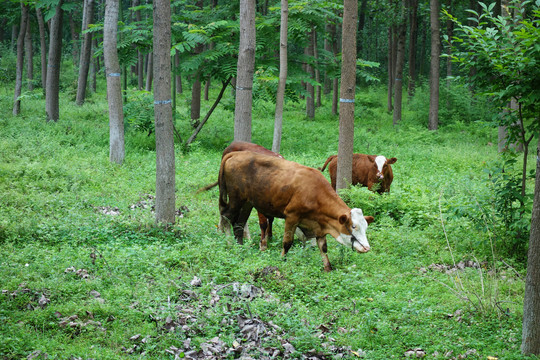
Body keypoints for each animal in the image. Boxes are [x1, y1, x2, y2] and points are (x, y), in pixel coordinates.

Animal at [217, 150, 374, 272]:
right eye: (353, 226)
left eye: (365, 227)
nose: (366, 248)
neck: (315, 192)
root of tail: (235, 154)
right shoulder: (292, 217)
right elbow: (287, 242)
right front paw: (282, 260)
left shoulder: (319, 225)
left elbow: (323, 247)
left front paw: (328, 268)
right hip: (236, 199)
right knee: (226, 216)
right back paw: (230, 244)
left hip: (247, 203)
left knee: (239, 224)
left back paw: (240, 246)